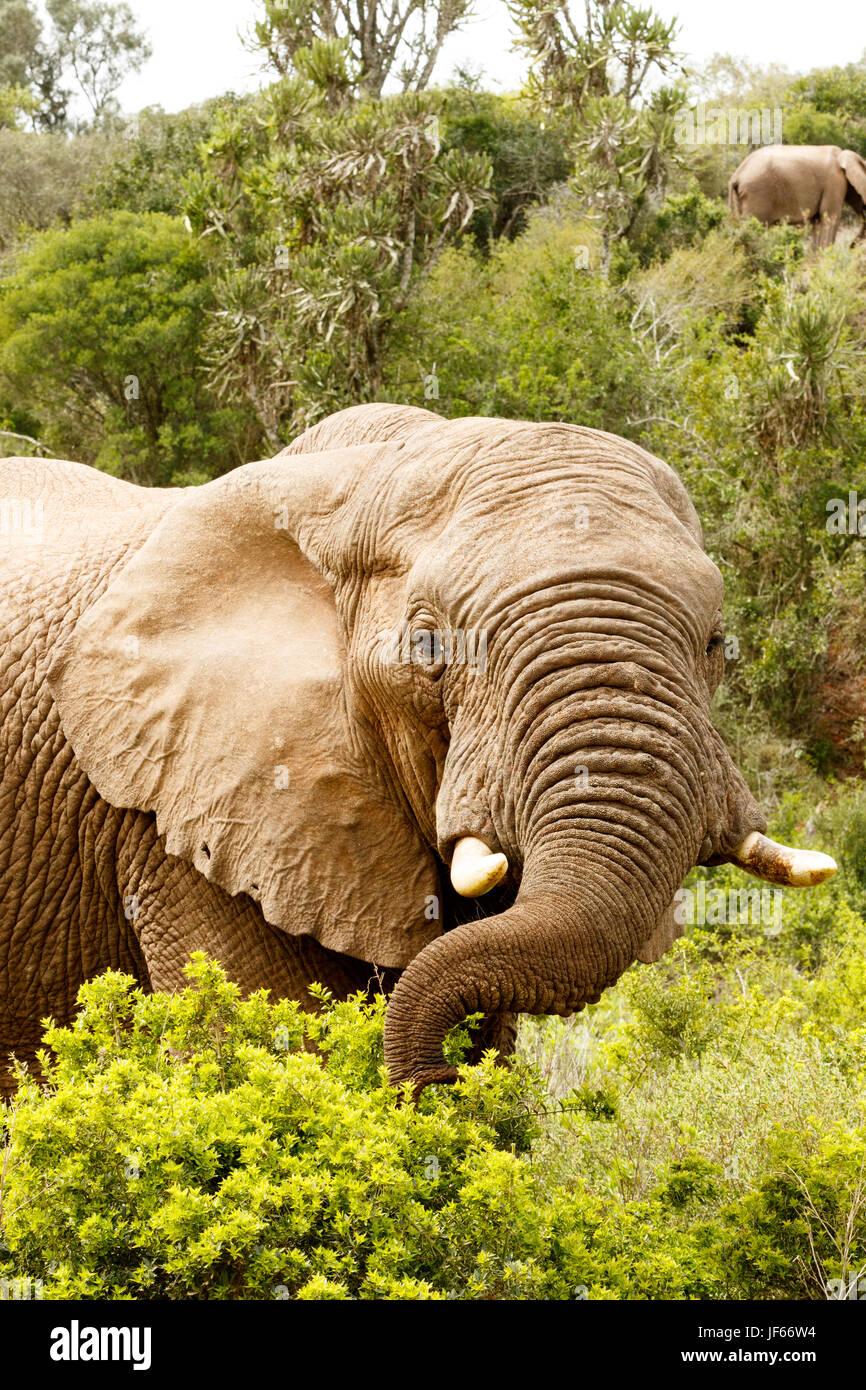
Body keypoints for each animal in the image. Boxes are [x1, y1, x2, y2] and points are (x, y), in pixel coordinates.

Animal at [733, 143, 866, 250]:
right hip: (757, 193)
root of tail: (737, 175)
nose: (850, 246)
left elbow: (817, 221)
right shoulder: (834, 182)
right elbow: (829, 218)